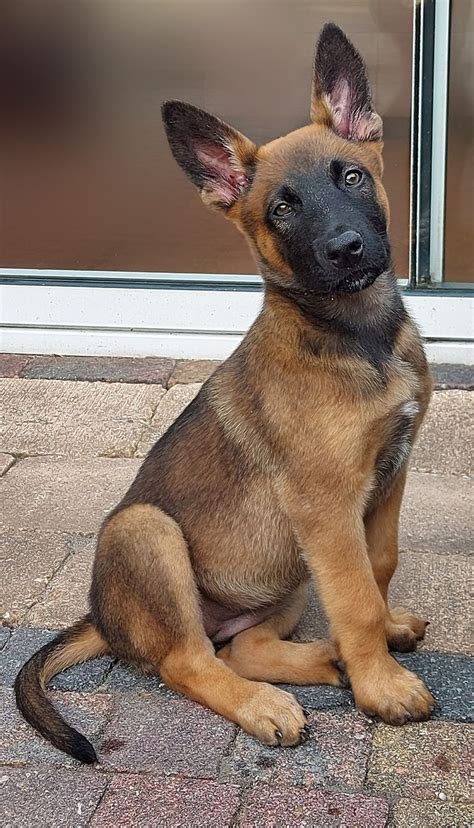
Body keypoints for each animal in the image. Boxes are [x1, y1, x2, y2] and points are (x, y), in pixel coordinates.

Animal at [14, 24, 436, 764]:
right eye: (282, 209)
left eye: (352, 176)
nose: (347, 249)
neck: (358, 336)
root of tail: (104, 618)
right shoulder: (325, 506)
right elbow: (356, 596)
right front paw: (381, 682)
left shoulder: (390, 474)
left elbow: (377, 567)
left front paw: (381, 640)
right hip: (147, 531)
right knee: (189, 660)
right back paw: (267, 703)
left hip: (285, 578)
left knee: (240, 646)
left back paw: (323, 659)